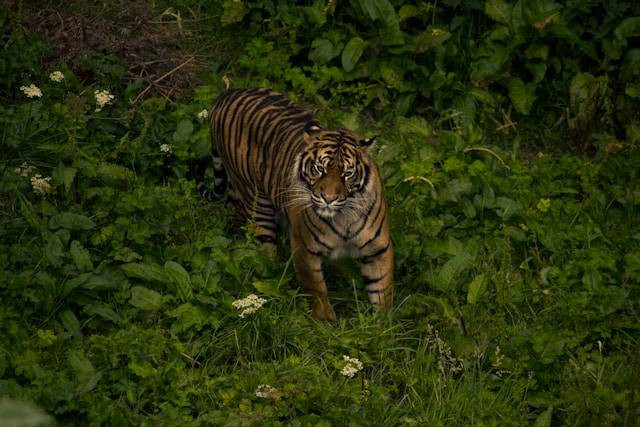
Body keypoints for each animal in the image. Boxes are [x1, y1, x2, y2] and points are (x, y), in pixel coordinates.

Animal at [195, 88, 392, 320]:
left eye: (347, 174)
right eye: (319, 169)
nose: (328, 198)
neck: (343, 216)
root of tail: (226, 93)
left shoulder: (378, 249)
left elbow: (382, 291)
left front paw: (383, 325)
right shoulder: (304, 247)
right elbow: (316, 289)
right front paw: (325, 321)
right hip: (256, 200)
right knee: (265, 251)